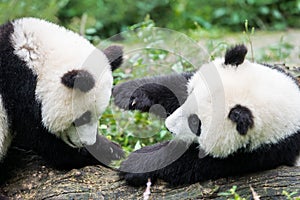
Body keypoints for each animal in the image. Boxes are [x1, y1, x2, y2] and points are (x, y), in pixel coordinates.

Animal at [112, 43, 300, 186]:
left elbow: (193, 163)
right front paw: (129, 93)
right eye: (191, 94)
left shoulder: (261, 153)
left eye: (196, 124)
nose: (169, 127)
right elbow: (177, 84)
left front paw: (135, 164)